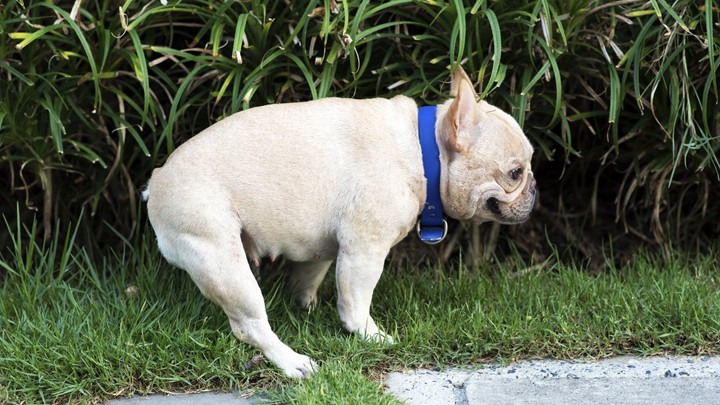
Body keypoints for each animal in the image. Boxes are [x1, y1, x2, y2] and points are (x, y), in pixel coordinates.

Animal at [143, 64, 536, 378]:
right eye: (515, 173)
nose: (534, 188)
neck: (422, 150)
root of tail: (155, 184)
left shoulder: (319, 248)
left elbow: (308, 278)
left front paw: (307, 309)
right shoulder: (364, 249)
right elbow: (356, 300)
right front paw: (369, 335)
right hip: (221, 260)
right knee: (250, 325)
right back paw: (293, 362)